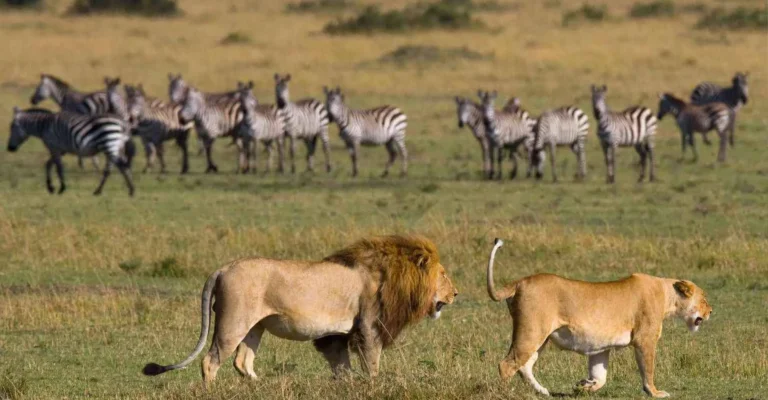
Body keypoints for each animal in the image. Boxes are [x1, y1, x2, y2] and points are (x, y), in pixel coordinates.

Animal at [7, 107, 136, 196]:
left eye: (12, 127)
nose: (9, 148)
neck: (44, 126)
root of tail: (122, 123)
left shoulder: (53, 146)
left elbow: (58, 167)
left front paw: (61, 188)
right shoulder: (60, 149)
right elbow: (48, 164)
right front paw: (50, 187)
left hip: (110, 143)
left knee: (112, 168)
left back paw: (98, 190)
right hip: (116, 146)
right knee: (122, 166)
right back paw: (131, 190)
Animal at [142, 235, 458, 383]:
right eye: (443, 274)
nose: (456, 293)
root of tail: (222, 268)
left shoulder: (337, 334)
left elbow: (341, 366)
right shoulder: (369, 326)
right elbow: (372, 364)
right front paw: (372, 385)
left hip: (255, 326)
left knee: (242, 362)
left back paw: (262, 387)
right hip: (233, 323)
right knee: (211, 362)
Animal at [486, 239, 712, 398]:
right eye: (704, 298)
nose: (711, 311)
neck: (667, 295)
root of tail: (520, 281)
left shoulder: (601, 347)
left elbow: (600, 375)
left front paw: (585, 386)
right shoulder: (645, 339)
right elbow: (648, 369)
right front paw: (655, 393)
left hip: (541, 337)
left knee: (524, 365)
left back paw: (543, 391)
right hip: (531, 331)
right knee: (507, 364)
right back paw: (505, 393)